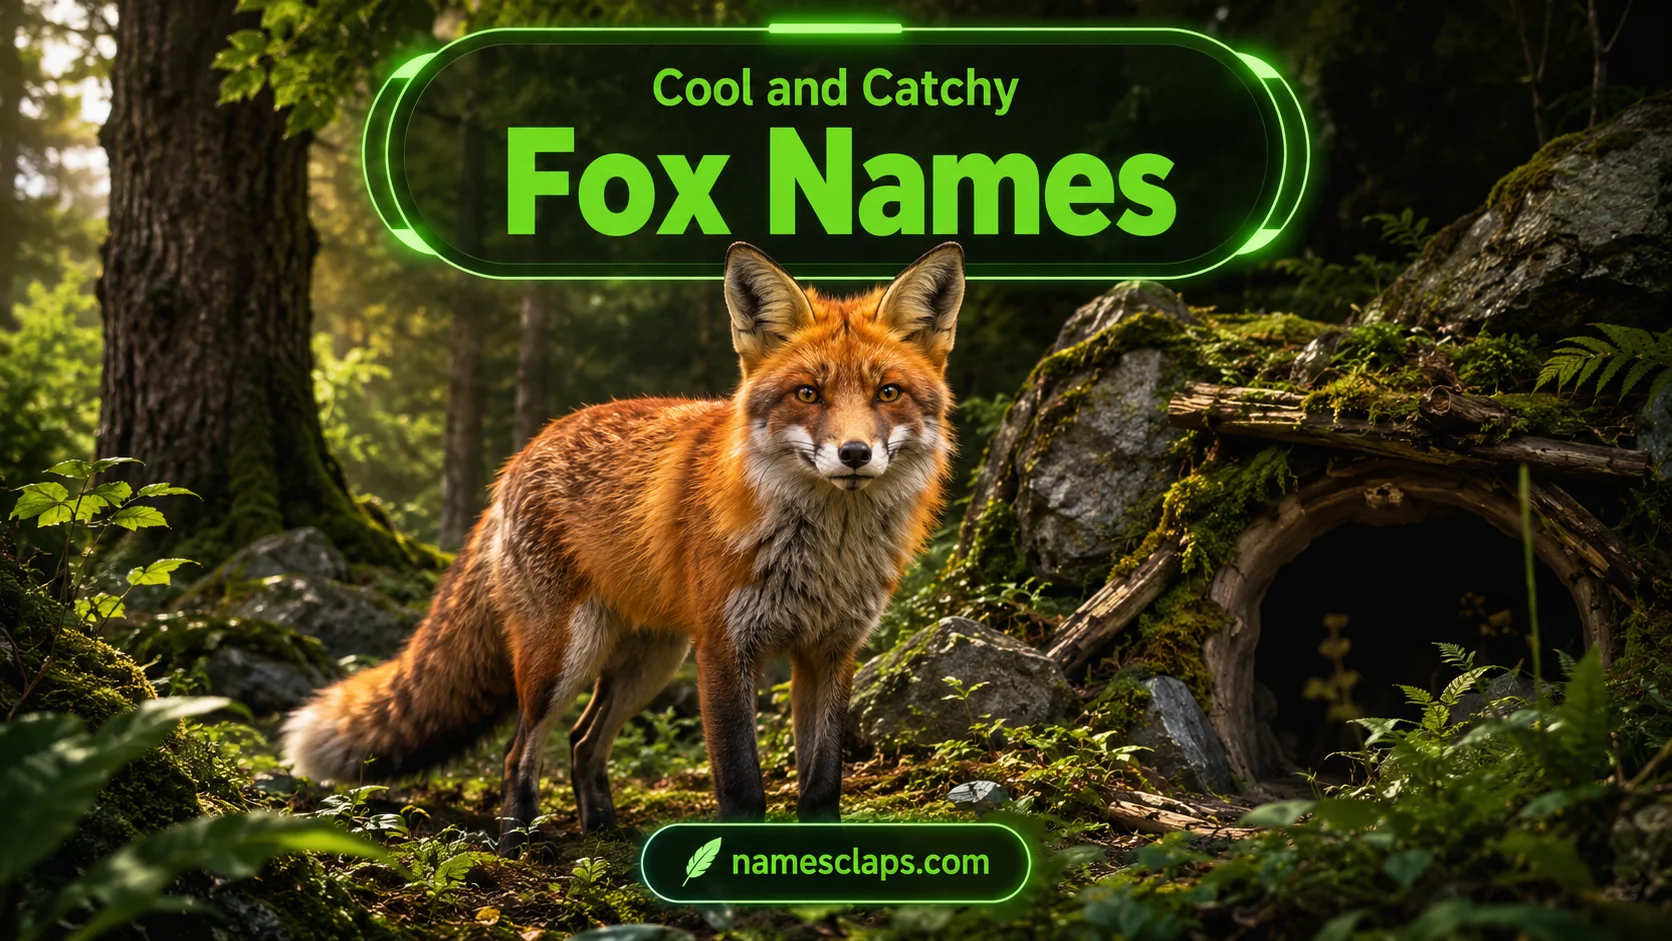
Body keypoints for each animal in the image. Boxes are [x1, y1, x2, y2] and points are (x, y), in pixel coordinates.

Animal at [282, 241, 963, 852]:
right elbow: (741, 783)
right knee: (519, 750)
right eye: (808, 394)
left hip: (650, 663)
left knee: (583, 742)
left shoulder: (830, 652)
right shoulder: (725, 651)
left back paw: (602, 830)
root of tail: (523, 453)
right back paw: (518, 840)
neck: (825, 555)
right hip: (565, 655)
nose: (854, 454)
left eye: (887, 393)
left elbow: (821, 783)